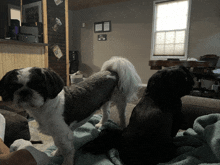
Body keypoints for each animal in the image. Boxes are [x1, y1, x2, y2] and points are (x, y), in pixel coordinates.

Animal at [0, 56, 141, 165]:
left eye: (37, 85)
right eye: (13, 86)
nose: (24, 92)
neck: (44, 107)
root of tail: (112, 72)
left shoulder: (63, 134)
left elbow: (67, 150)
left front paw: (66, 161)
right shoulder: (57, 133)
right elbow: (58, 145)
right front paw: (57, 152)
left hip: (120, 100)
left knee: (122, 115)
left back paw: (122, 126)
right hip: (105, 101)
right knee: (106, 113)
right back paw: (101, 124)